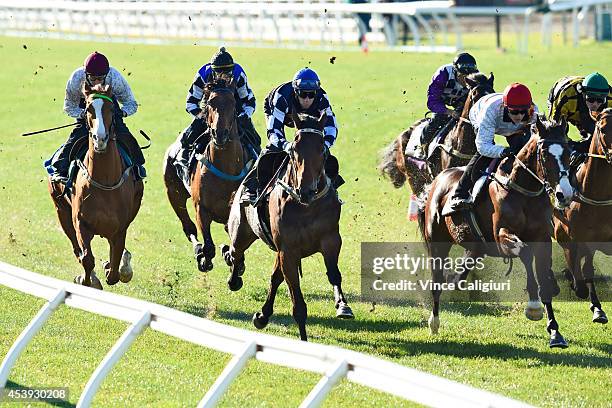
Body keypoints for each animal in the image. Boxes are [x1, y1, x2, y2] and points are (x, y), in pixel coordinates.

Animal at [47, 83, 143, 288]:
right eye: (88, 109)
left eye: (112, 109)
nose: (100, 138)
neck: (105, 180)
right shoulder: (80, 223)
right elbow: (87, 258)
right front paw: (88, 280)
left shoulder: (119, 228)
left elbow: (115, 267)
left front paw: (119, 268)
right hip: (61, 211)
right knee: (77, 249)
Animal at [163, 83, 251, 272]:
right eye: (210, 102)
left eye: (233, 103)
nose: (220, 133)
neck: (226, 169)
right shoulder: (201, 209)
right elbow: (209, 246)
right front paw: (205, 259)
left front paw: (232, 259)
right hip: (174, 193)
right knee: (188, 227)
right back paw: (198, 250)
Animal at [222, 113, 352, 340]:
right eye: (294, 149)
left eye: (322, 149)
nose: (306, 190)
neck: (306, 206)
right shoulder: (288, 251)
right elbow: (297, 303)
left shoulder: (331, 240)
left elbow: (333, 273)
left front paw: (342, 305)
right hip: (241, 231)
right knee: (235, 253)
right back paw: (233, 277)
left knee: (274, 278)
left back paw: (262, 315)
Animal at [416, 117, 572, 348]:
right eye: (544, 154)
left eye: (569, 152)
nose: (565, 194)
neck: (523, 191)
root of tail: (438, 180)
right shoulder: (501, 236)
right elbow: (525, 252)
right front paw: (533, 307)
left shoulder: (542, 238)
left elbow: (544, 276)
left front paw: (555, 332)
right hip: (436, 242)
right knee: (437, 280)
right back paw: (434, 322)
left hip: (476, 246)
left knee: (461, 269)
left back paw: (455, 279)